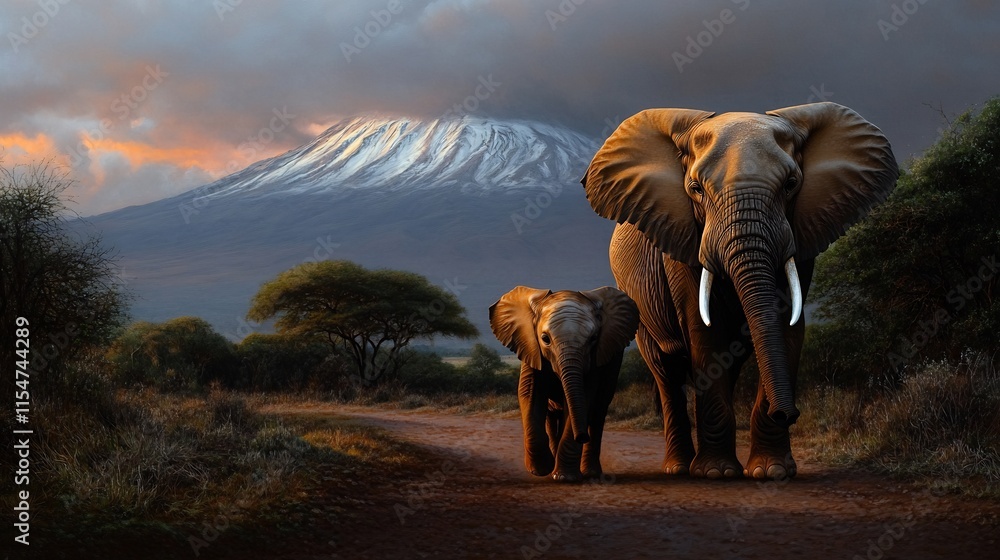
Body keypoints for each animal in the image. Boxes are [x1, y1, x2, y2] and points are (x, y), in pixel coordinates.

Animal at [489, 286, 640, 482]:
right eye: (545, 339)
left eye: (593, 339)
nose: (581, 436)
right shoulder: (531, 348)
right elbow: (529, 394)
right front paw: (541, 469)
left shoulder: (595, 360)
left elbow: (583, 399)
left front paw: (564, 477)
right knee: (551, 415)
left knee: (598, 412)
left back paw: (590, 473)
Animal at [582, 102, 898, 480]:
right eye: (696, 189)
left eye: (791, 185)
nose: (788, 413)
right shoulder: (684, 239)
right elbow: (705, 332)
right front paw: (716, 474)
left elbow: (787, 324)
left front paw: (772, 472)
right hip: (638, 303)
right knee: (666, 371)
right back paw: (679, 468)